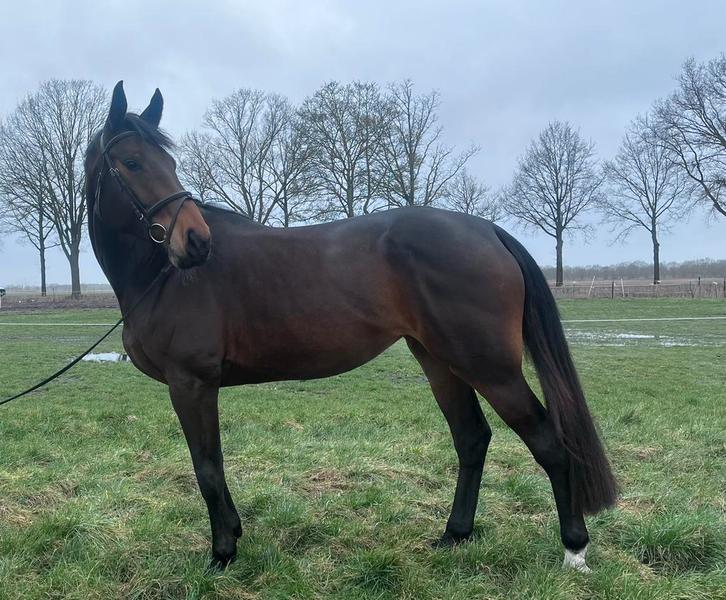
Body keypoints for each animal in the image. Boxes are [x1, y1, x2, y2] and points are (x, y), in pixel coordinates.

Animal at [84, 82, 617, 572]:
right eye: (132, 162)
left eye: (167, 163)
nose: (195, 241)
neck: (161, 274)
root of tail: (487, 229)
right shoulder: (194, 385)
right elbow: (212, 465)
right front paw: (232, 534)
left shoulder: (191, 383)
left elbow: (207, 468)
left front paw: (221, 553)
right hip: (439, 361)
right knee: (471, 438)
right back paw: (455, 534)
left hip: (489, 367)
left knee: (548, 442)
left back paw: (574, 548)